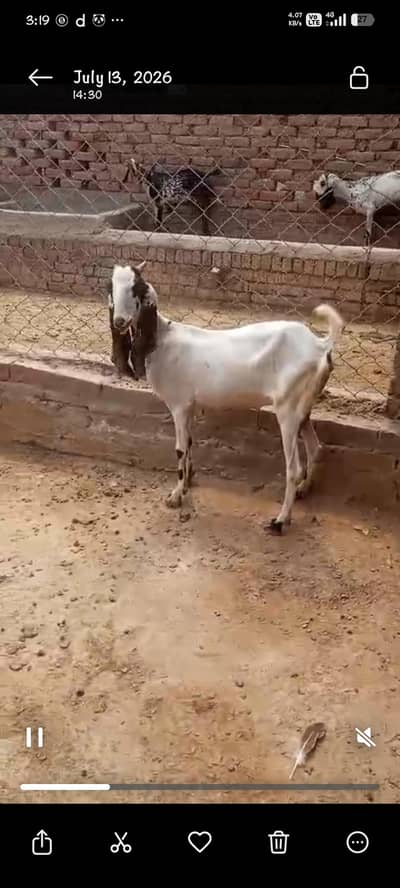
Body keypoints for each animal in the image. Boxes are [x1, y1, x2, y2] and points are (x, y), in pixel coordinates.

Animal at [109, 264, 344, 532]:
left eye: (136, 288)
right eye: (111, 287)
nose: (119, 321)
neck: (163, 340)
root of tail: (320, 345)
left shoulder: (178, 404)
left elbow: (179, 448)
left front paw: (176, 496)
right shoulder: (190, 405)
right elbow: (189, 443)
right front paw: (188, 481)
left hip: (288, 409)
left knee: (294, 468)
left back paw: (280, 521)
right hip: (304, 407)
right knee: (315, 447)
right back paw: (304, 489)